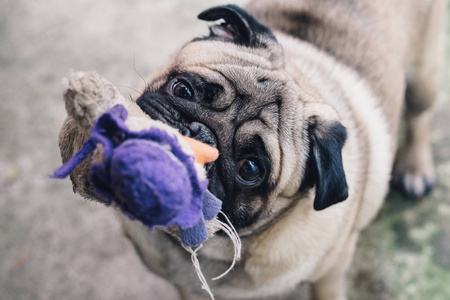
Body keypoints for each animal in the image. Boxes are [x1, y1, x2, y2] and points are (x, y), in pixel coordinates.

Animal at [58, 0, 444, 300]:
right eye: (182, 89)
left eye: (250, 169)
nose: (195, 136)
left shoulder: (330, 272)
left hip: (424, 77)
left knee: (419, 114)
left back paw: (415, 168)